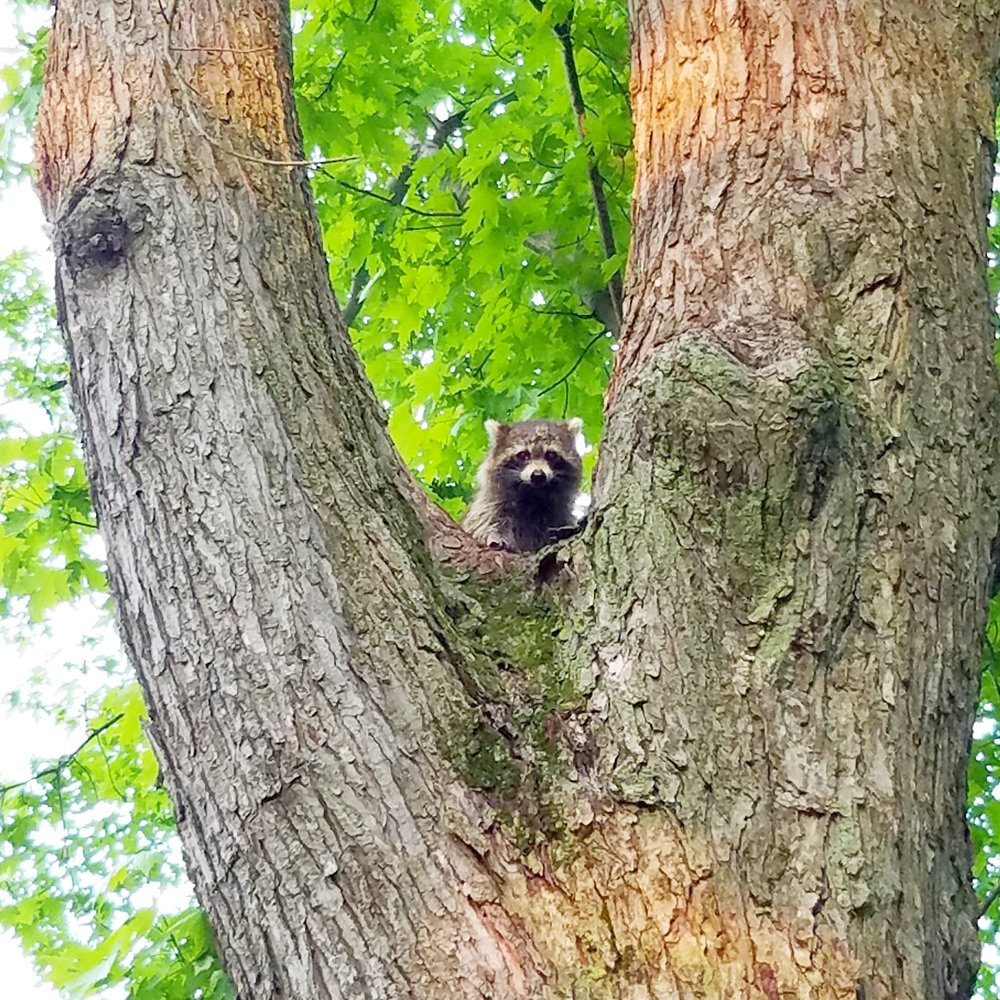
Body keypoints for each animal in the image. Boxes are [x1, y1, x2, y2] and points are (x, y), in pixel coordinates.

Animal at [463, 418, 583, 553]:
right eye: (523, 455)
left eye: (551, 455)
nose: (538, 475)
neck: (533, 496)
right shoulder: (490, 507)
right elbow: (484, 524)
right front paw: (494, 536)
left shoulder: (560, 517)